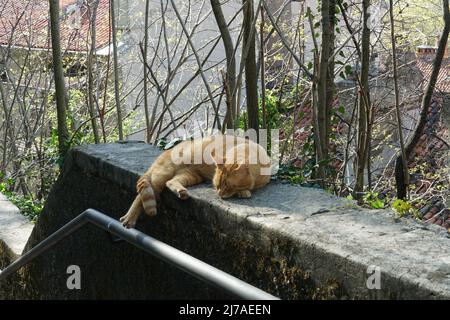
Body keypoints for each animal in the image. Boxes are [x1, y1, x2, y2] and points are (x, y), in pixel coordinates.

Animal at [119, 134, 272, 228]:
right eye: (217, 185)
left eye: (228, 187)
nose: (220, 195)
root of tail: (169, 149)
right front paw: (244, 192)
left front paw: (244, 191)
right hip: (163, 174)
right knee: (142, 195)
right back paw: (129, 218)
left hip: (190, 175)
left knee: (171, 182)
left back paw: (181, 192)